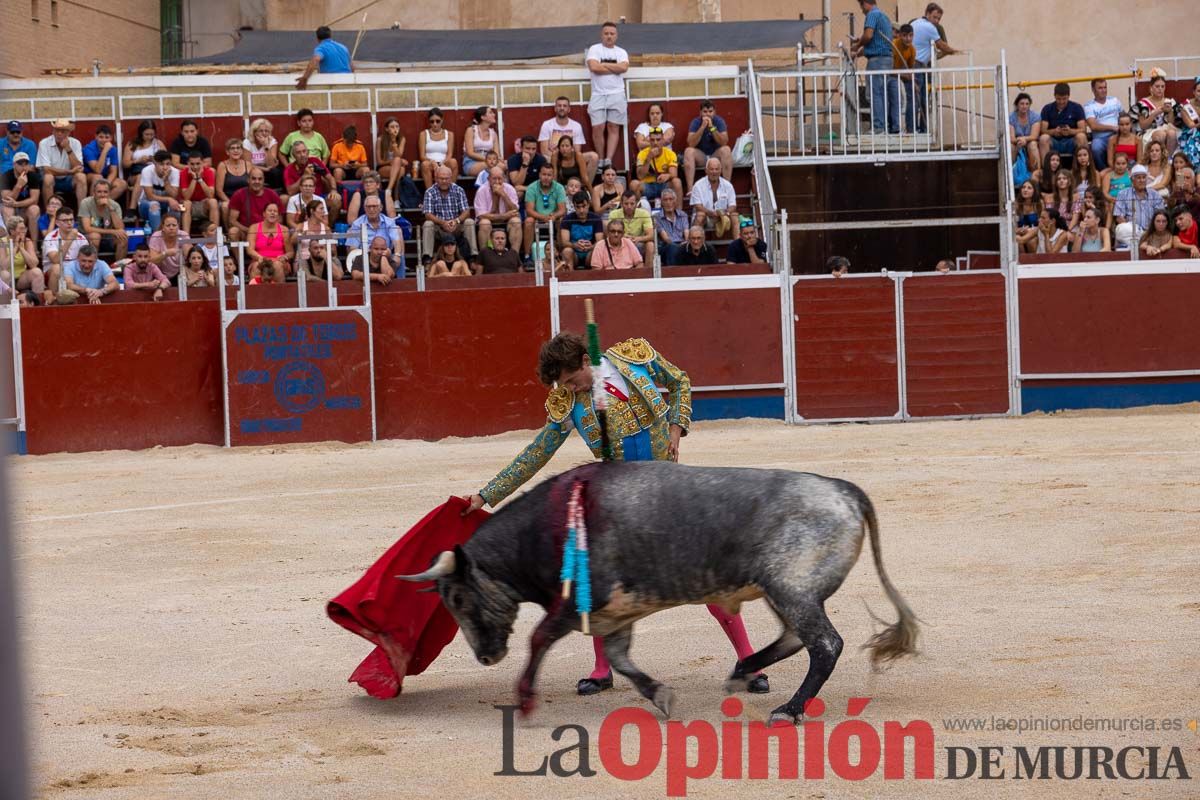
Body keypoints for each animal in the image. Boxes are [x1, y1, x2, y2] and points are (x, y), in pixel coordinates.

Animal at [398, 455, 912, 724]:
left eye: (457, 598)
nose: (486, 657)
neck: (540, 531)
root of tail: (844, 490)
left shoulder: (572, 604)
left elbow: (539, 639)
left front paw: (524, 699)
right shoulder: (612, 614)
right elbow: (620, 658)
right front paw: (660, 696)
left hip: (793, 589)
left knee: (824, 644)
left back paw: (788, 709)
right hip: (782, 591)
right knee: (793, 638)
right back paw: (744, 671)